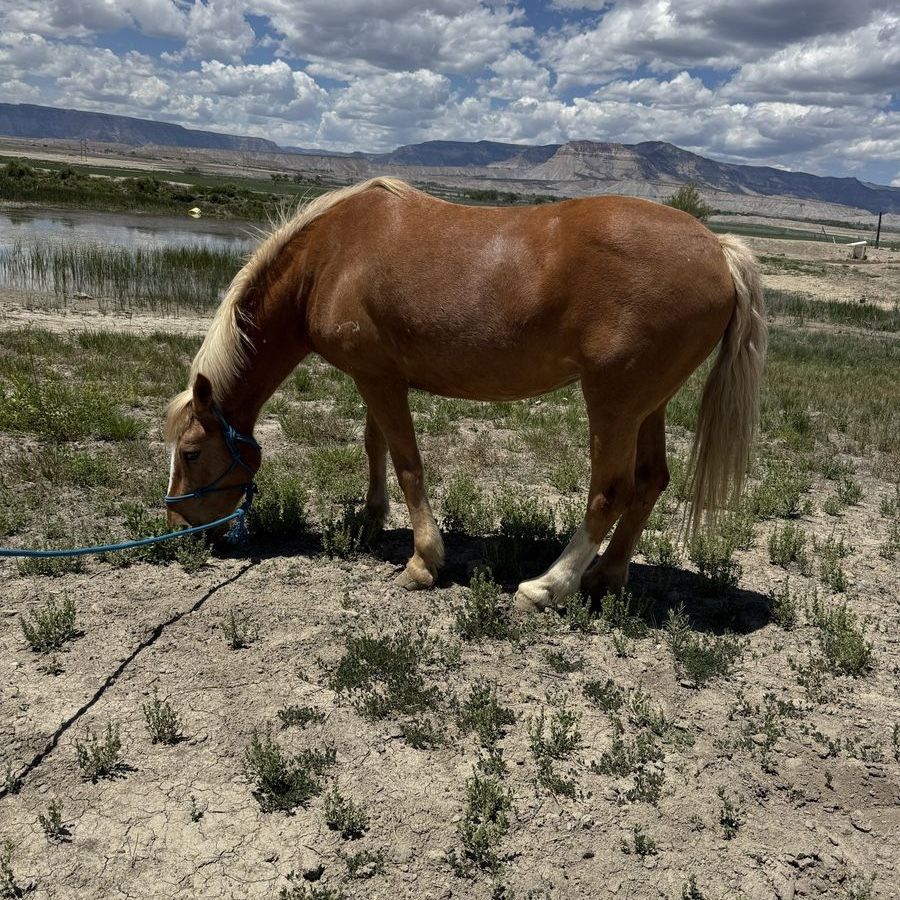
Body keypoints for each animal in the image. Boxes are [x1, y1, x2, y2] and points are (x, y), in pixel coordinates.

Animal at [164, 176, 766, 611]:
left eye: (191, 453)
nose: (178, 529)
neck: (330, 257)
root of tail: (717, 248)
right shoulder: (374, 376)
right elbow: (375, 445)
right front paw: (370, 520)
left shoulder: (379, 379)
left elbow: (406, 461)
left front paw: (422, 562)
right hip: (648, 406)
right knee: (649, 483)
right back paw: (606, 575)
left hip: (613, 402)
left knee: (611, 491)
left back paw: (547, 587)